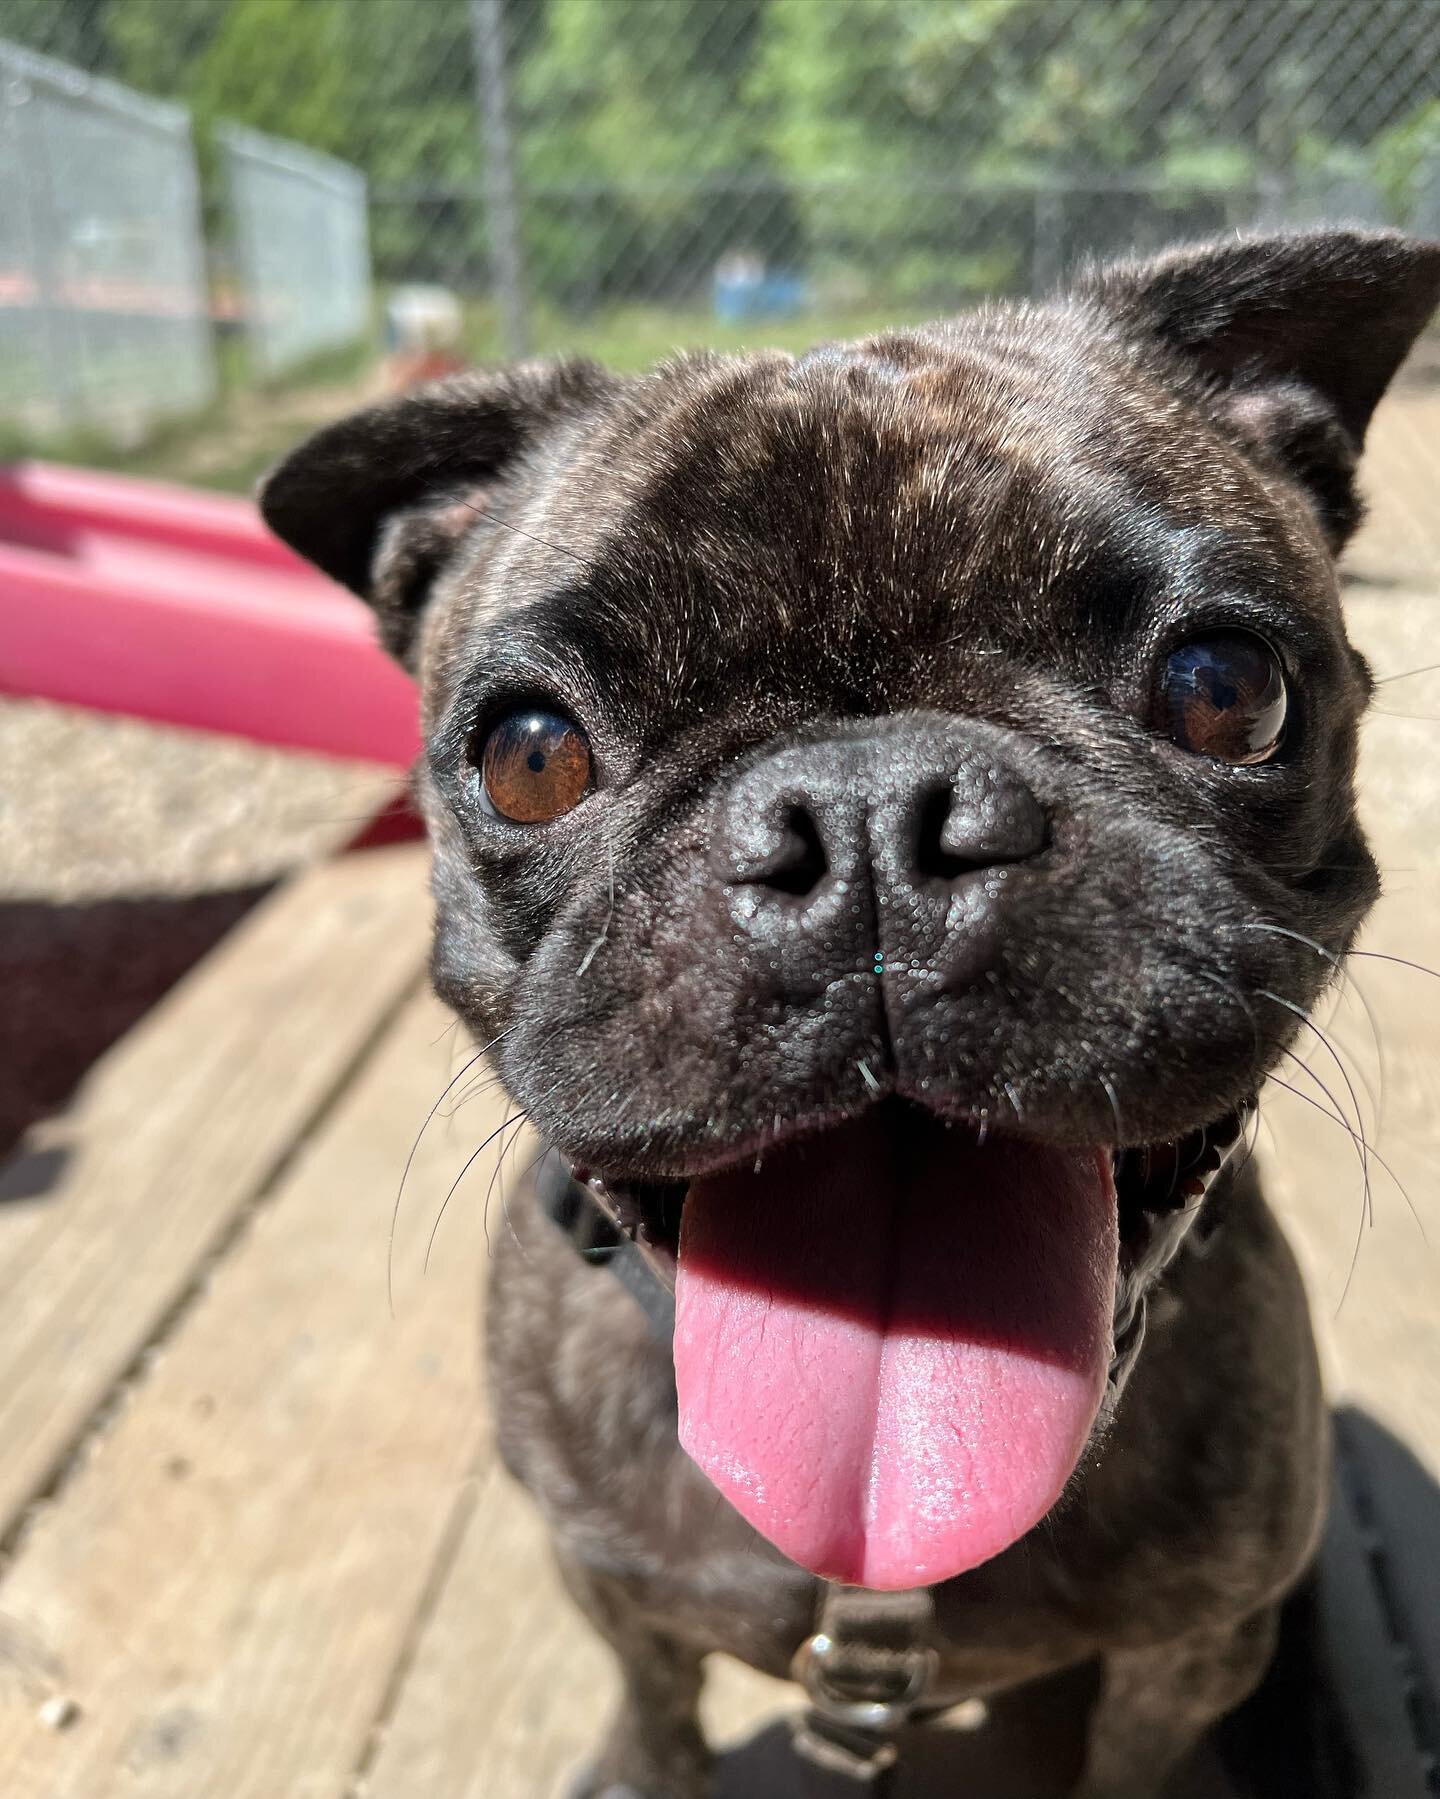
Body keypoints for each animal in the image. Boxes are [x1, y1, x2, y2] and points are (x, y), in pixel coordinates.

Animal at [261, 232, 1440, 1791]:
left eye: (1225, 686)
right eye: (528, 754)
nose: (870, 810)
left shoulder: (1185, 1646)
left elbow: (1132, 1757)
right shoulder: (611, 1582)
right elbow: (655, 1701)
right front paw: (639, 1767)